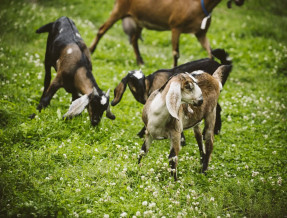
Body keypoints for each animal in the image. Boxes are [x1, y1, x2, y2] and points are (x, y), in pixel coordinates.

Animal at [89, 0, 245, 66]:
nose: (240, 2)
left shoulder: (201, 33)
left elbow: (210, 51)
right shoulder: (176, 27)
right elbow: (176, 53)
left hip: (139, 20)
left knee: (134, 39)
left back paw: (140, 61)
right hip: (119, 10)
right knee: (102, 29)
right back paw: (91, 50)